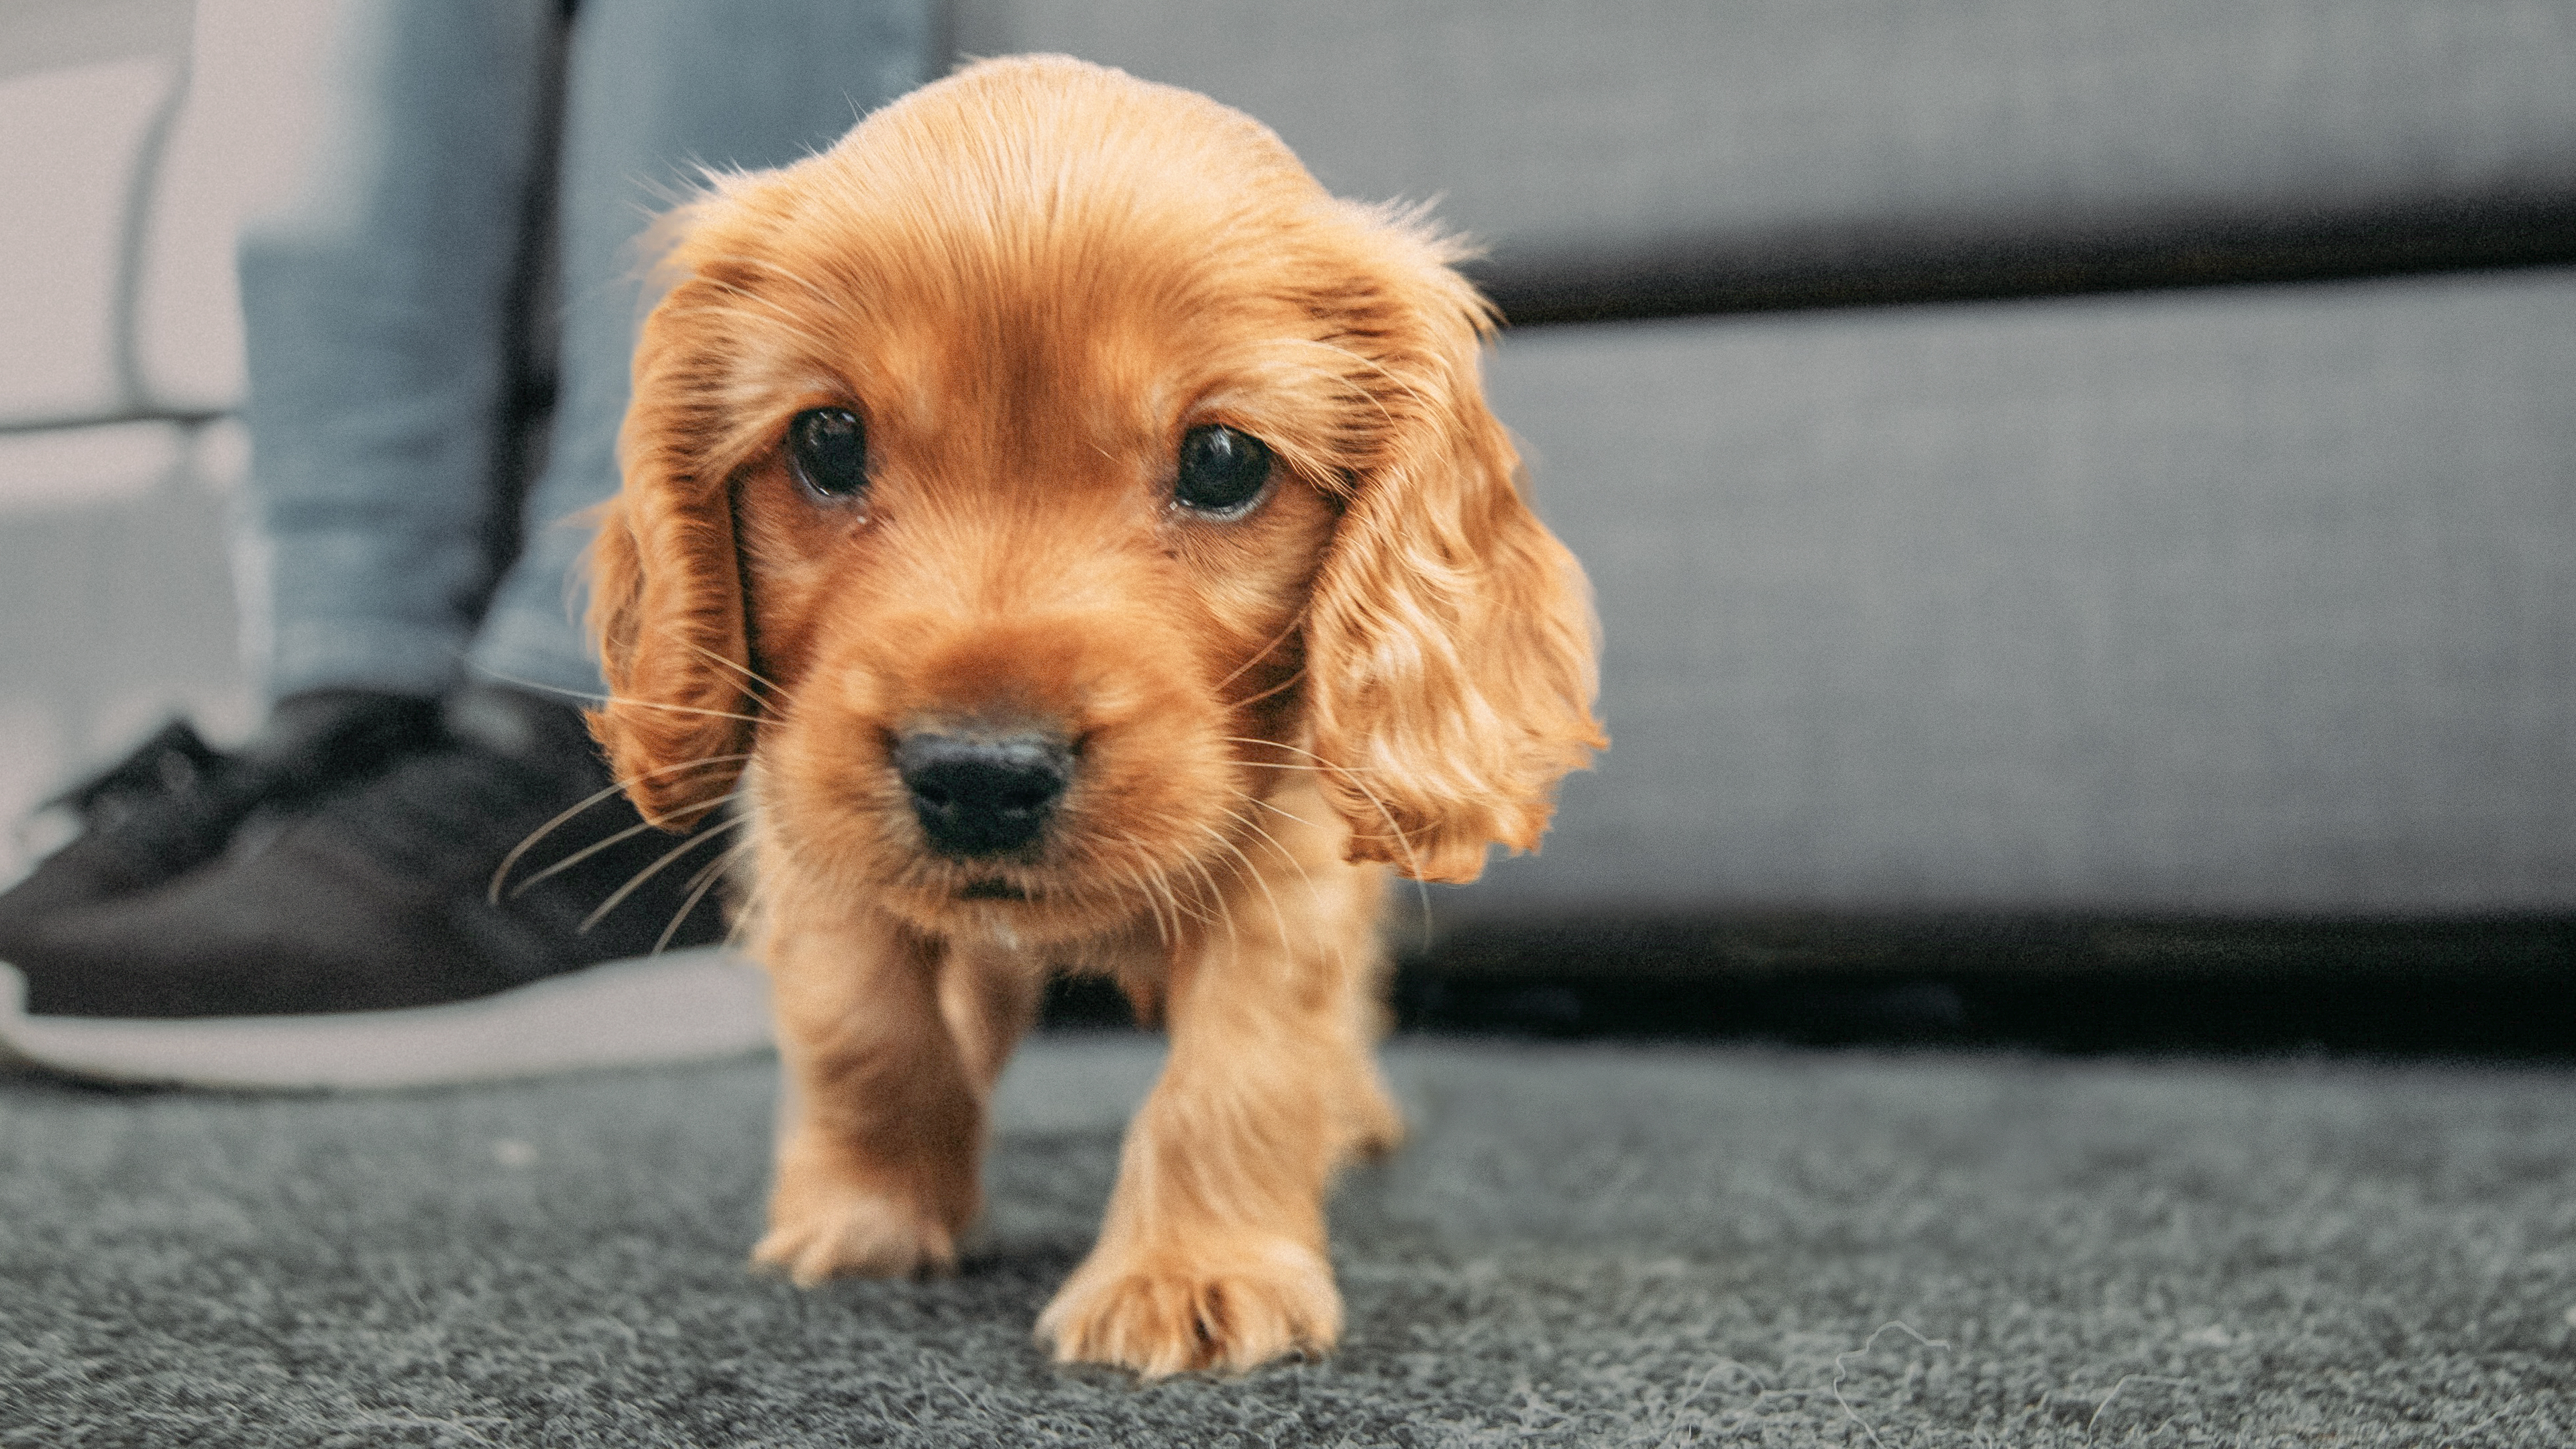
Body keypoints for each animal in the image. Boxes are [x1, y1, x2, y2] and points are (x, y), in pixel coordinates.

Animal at [584, 53, 1597, 1361]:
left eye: (1222, 460)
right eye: (828, 439)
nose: (978, 775)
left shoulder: (1294, 866)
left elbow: (1239, 1070)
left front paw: (1195, 1273)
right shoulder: (806, 836)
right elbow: (866, 1027)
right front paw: (869, 1214)